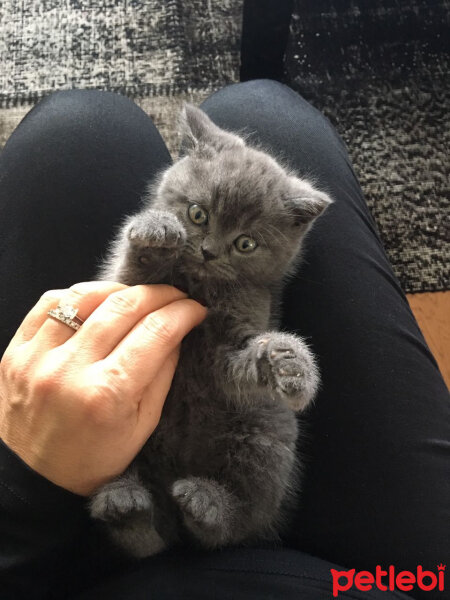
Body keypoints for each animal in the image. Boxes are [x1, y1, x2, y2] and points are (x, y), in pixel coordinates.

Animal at [90, 103, 330, 556]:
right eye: (198, 213)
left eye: (245, 243)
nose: (208, 251)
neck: (200, 286)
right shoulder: (119, 289)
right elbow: (131, 276)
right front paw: (154, 233)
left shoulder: (232, 341)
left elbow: (236, 367)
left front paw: (287, 363)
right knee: (150, 543)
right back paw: (124, 505)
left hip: (265, 430)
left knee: (231, 530)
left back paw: (207, 505)